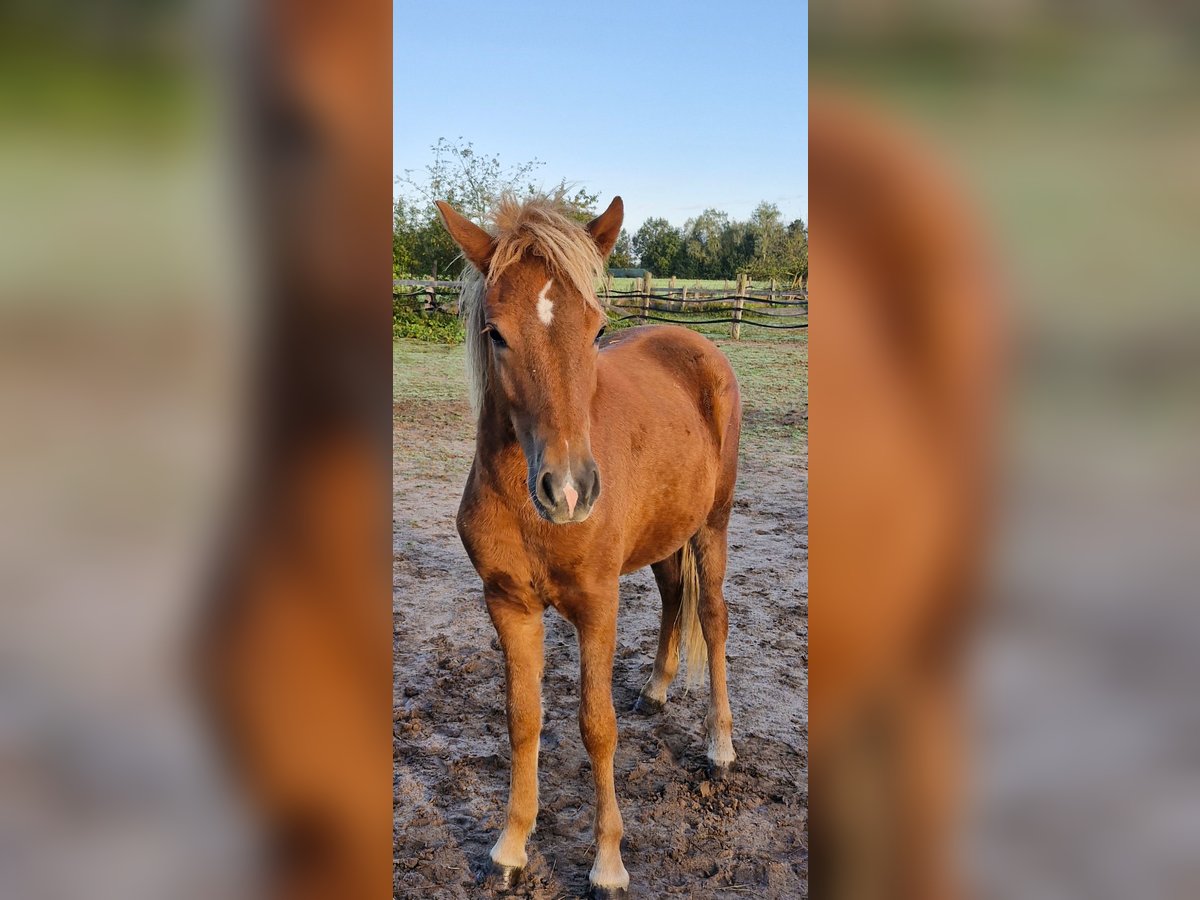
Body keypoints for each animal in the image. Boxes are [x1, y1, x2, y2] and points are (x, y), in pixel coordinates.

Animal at [439, 194, 739, 897]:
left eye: (597, 329)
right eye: (495, 332)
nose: (569, 489)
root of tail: (699, 347)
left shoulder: (597, 605)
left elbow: (596, 727)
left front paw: (607, 863)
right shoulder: (508, 604)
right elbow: (523, 718)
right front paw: (510, 847)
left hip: (712, 526)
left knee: (712, 616)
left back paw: (719, 747)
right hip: (666, 538)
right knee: (674, 596)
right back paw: (656, 689)